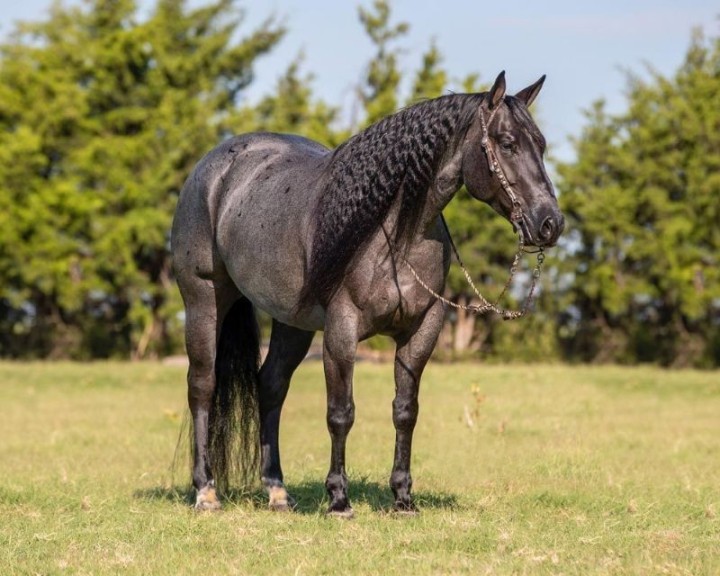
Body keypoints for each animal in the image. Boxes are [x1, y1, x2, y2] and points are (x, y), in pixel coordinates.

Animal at [171, 71, 564, 516]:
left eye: (541, 145)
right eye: (507, 143)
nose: (550, 223)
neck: (393, 234)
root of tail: (214, 167)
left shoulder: (421, 331)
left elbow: (405, 411)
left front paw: (403, 498)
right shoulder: (342, 331)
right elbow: (341, 413)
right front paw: (339, 499)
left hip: (293, 323)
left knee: (270, 386)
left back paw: (278, 492)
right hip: (204, 300)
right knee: (202, 385)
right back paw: (206, 492)